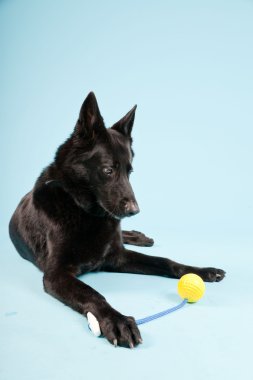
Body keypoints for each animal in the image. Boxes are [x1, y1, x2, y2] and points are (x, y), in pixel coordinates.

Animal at [9, 92, 225, 348]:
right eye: (108, 170)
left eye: (130, 171)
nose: (135, 210)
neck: (83, 210)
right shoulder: (56, 274)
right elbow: (93, 293)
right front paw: (117, 321)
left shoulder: (118, 256)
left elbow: (165, 261)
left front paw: (202, 271)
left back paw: (139, 236)